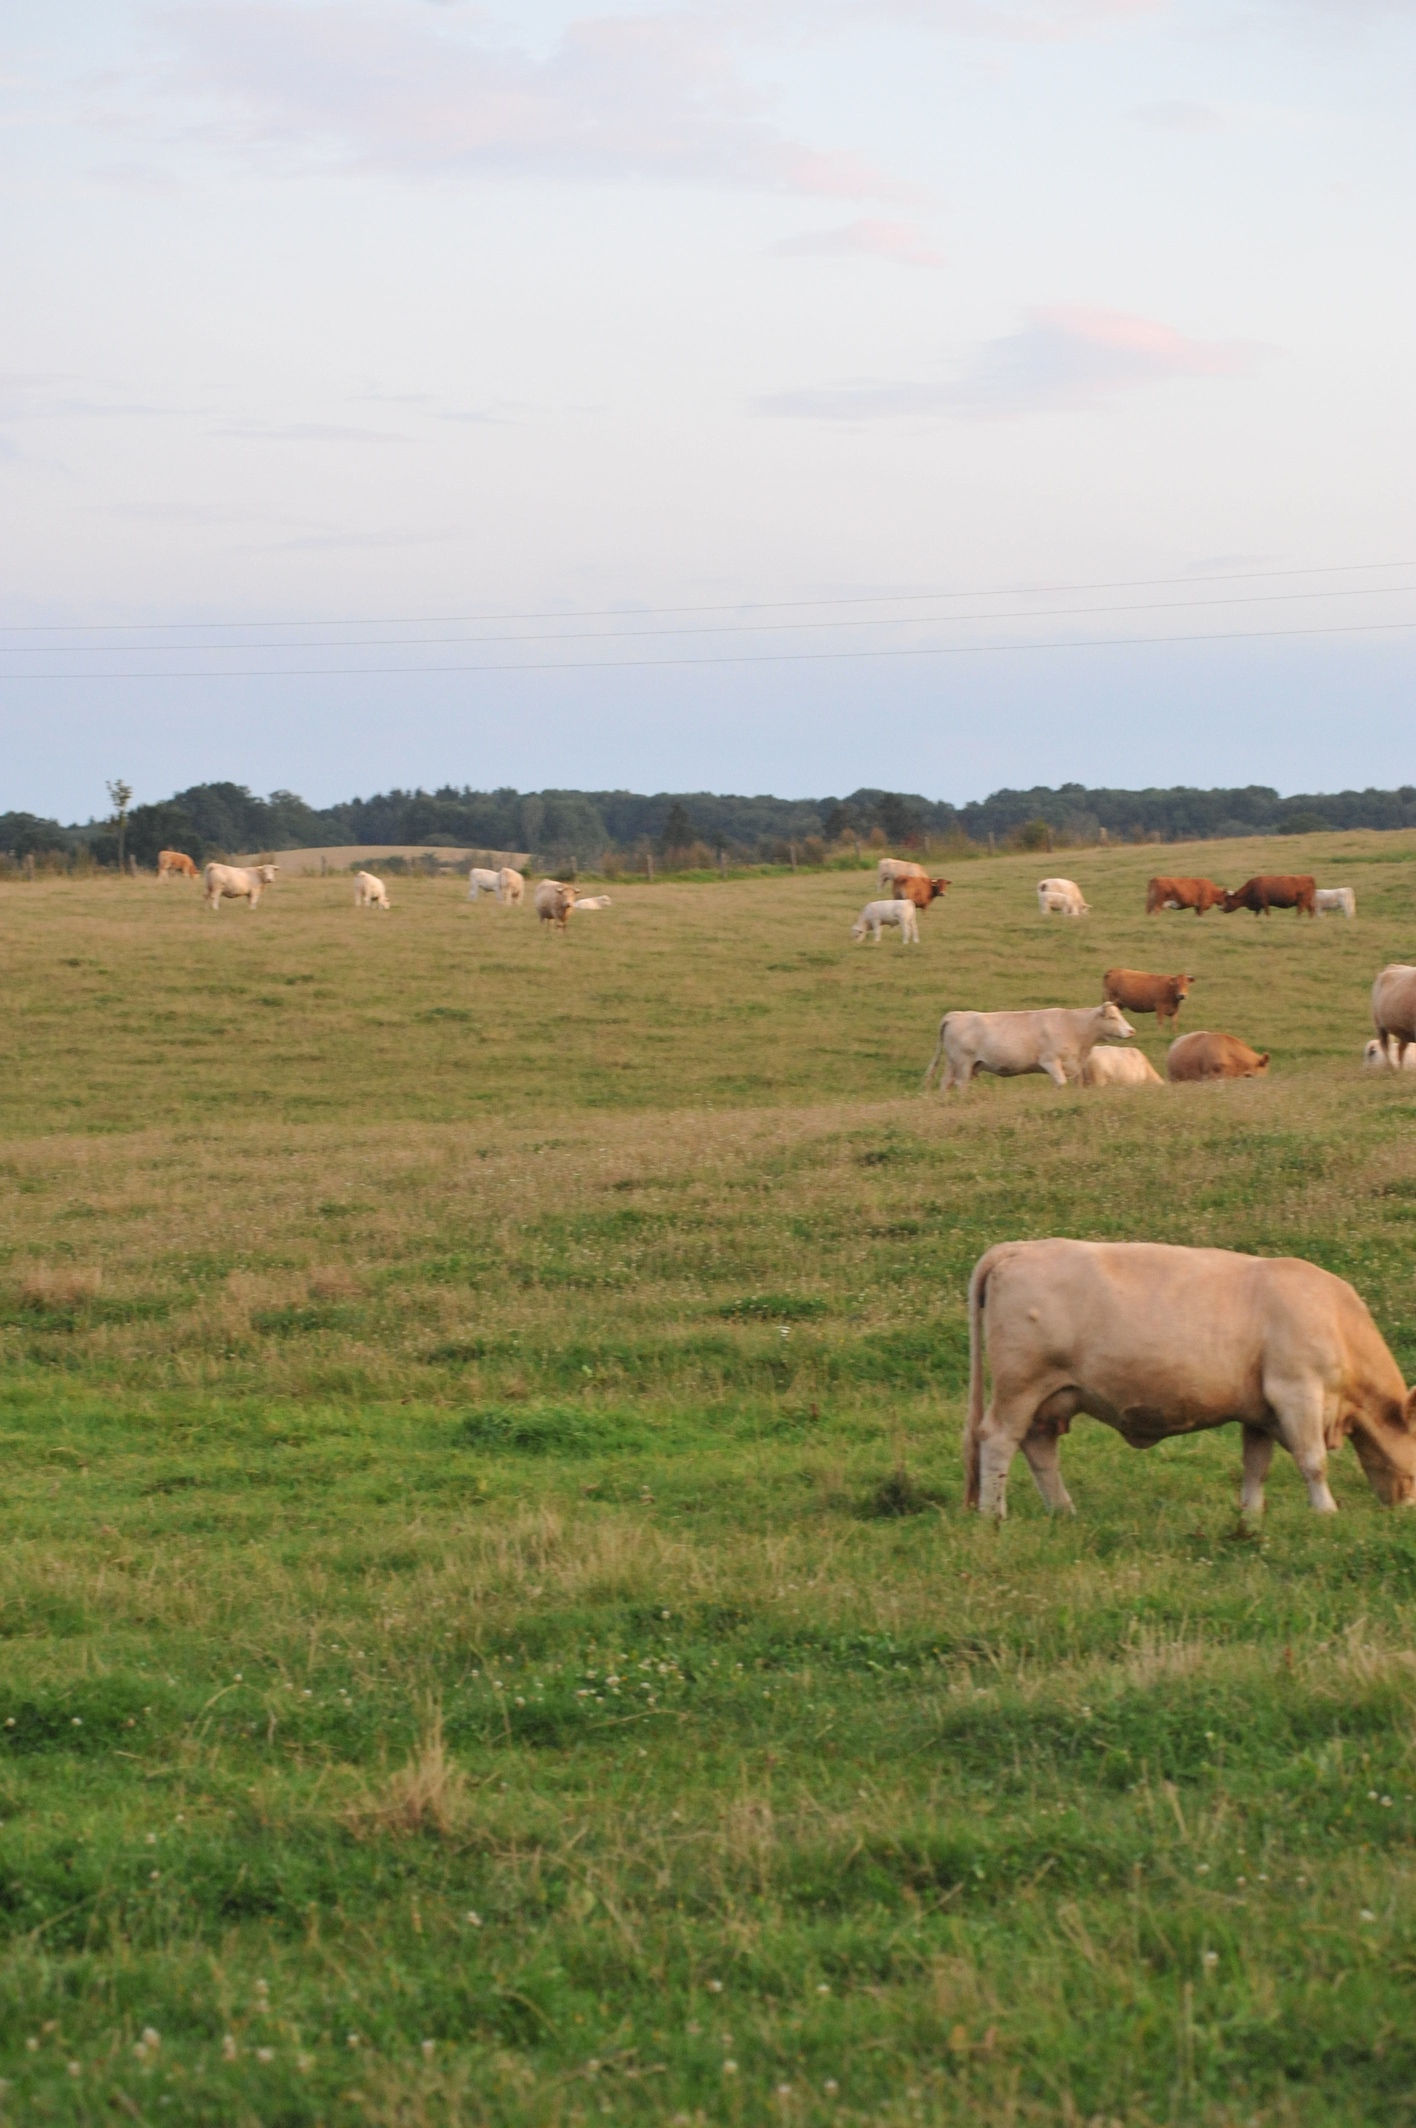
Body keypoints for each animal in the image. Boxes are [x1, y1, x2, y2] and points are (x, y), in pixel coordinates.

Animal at [923, 1001, 1132, 1093]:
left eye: (1121, 1015)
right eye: (1113, 1017)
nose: (1131, 1031)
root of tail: (956, 1014)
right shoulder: (1050, 1061)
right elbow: (1060, 1083)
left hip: (953, 1063)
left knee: (946, 1082)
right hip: (963, 1062)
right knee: (961, 1084)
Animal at [962, 1239, 1416, 1518]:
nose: (1406, 1512)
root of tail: (1020, 1247)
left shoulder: (1259, 1411)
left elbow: (1257, 1466)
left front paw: (1251, 1516)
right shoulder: (1296, 1390)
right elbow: (1313, 1461)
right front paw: (1325, 1512)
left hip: (1051, 1396)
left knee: (1039, 1448)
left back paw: (1063, 1511)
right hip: (1020, 1384)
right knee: (998, 1439)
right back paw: (993, 1515)